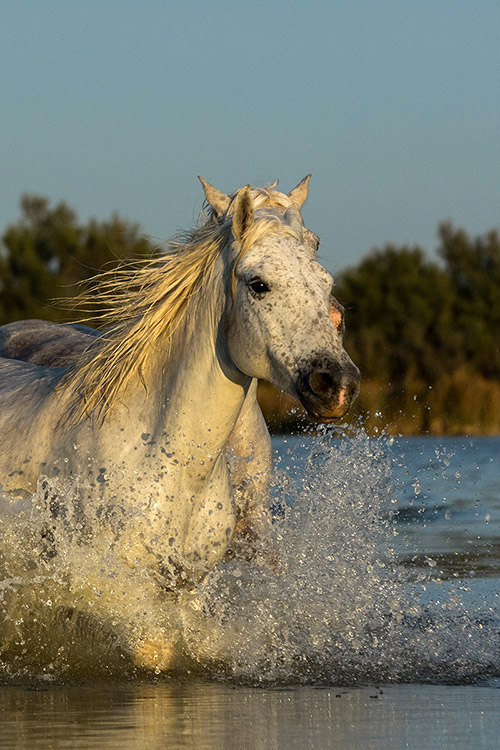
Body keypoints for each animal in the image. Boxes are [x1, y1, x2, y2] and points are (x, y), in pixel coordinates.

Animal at [0, 176, 360, 670]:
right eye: (259, 284)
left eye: (323, 278)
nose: (336, 383)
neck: (162, 459)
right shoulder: (111, 588)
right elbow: (156, 649)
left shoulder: (187, 587)